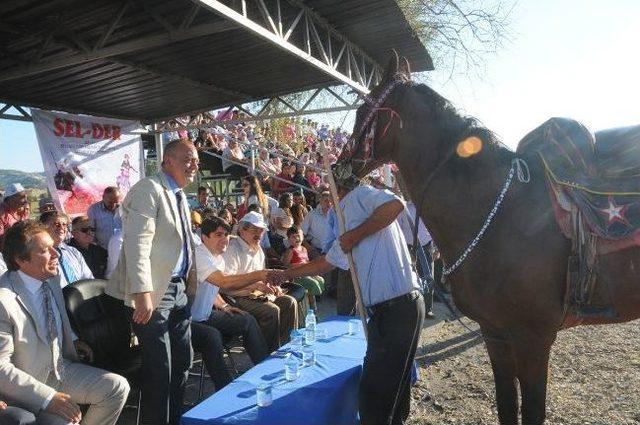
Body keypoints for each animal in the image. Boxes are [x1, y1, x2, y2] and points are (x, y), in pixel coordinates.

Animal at [342, 54, 640, 422]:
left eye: (362, 110)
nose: (340, 164)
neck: (499, 212)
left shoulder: (534, 340)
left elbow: (531, 411)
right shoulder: (495, 334)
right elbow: (506, 405)